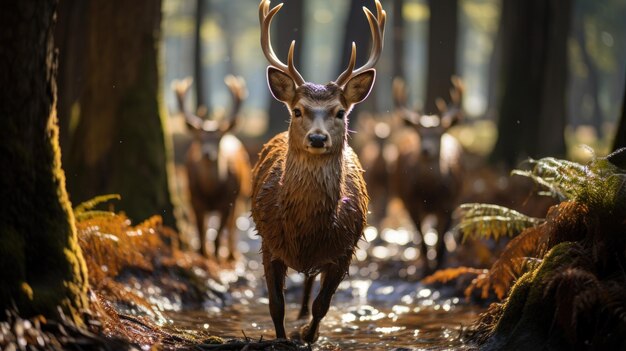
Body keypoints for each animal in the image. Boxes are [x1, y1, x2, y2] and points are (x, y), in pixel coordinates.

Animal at [171, 75, 251, 262]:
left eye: (219, 138)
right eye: (199, 138)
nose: (208, 153)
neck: (211, 193)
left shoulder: (229, 200)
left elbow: (218, 236)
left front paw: (216, 256)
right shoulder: (194, 199)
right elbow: (201, 235)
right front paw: (203, 255)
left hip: (241, 194)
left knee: (233, 226)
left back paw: (232, 254)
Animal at [251, 0, 382, 346]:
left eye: (340, 111)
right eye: (298, 110)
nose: (318, 138)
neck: (306, 233)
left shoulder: (345, 249)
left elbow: (322, 305)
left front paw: (309, 336)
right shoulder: (269, 242)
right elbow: (276, 305)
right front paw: (283, 338)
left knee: (310, 287)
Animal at [390, 77, 464, 278]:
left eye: (440, 133)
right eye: (419, 133)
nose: (425, 149)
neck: (430, 192)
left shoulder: (450, 203)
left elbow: (442, 239)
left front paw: (438, 267)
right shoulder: (410, 202)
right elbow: (422, 240)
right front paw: (425, 269)